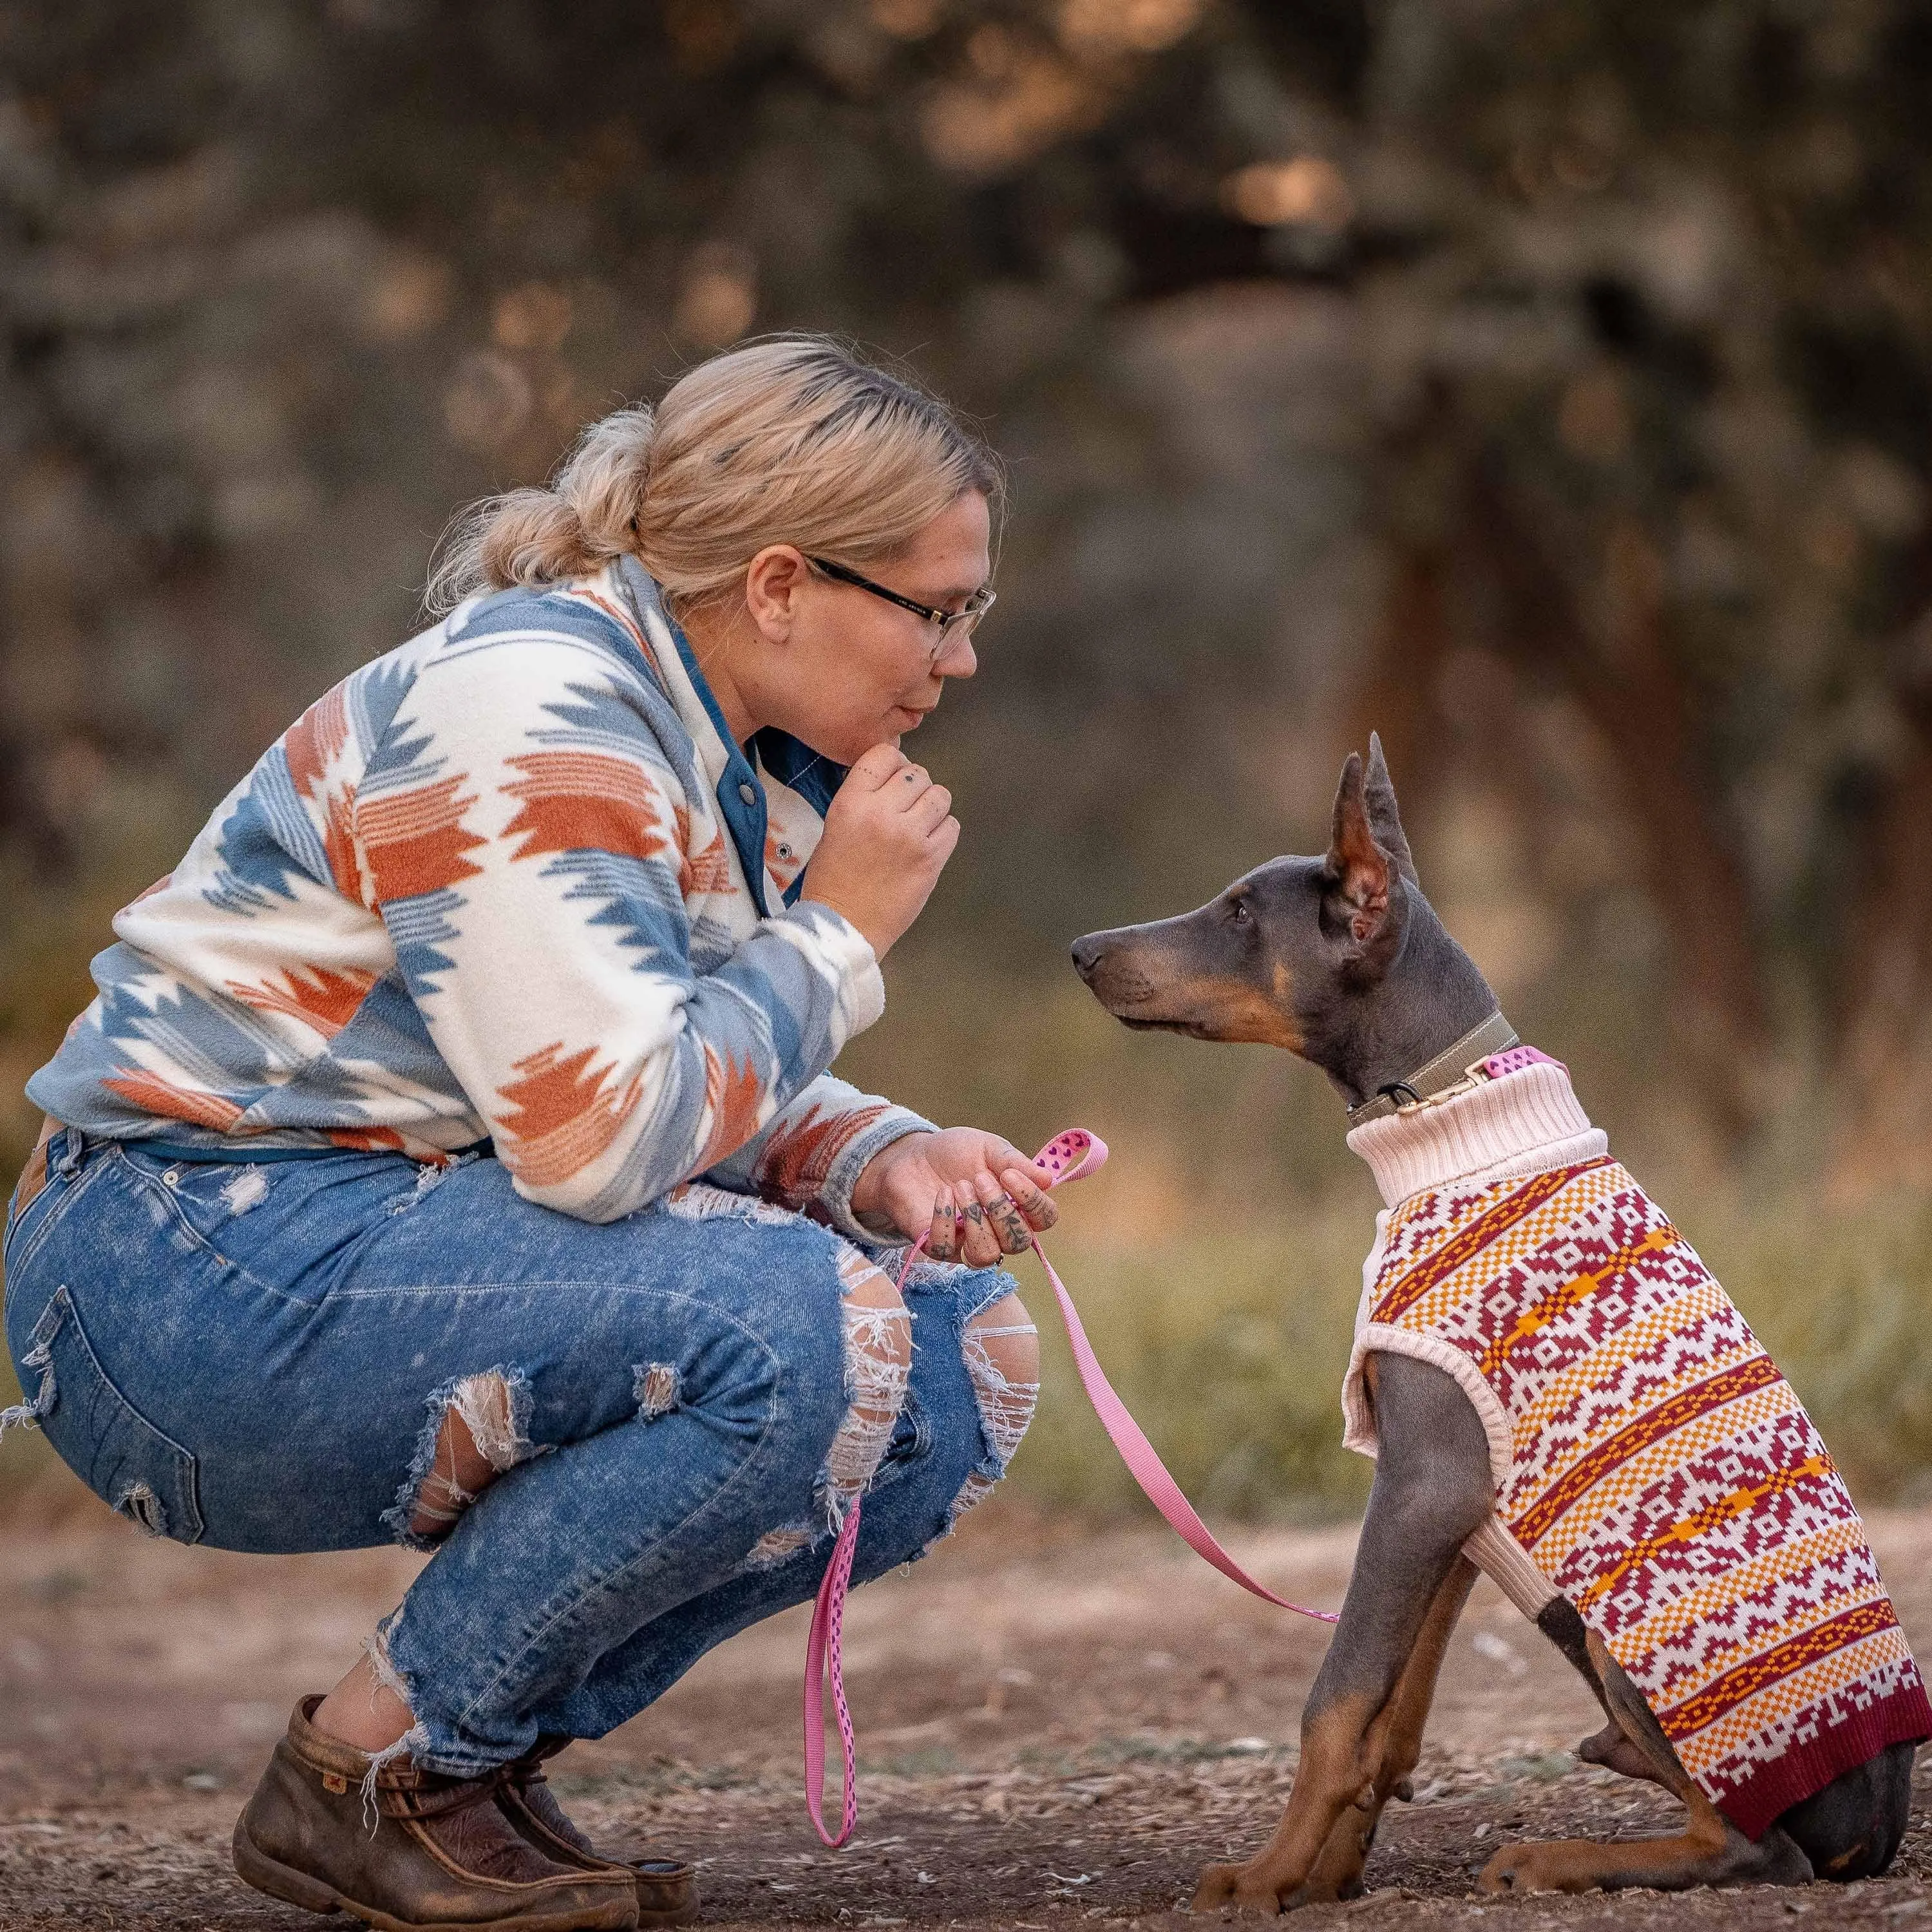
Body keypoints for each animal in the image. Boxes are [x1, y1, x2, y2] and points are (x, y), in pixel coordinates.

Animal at [1066, 734, 1924, 1901]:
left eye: (1241, 913)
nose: (1081, 948)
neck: (1447, 1112)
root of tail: (1880, 1826)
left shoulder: (1423, 1479)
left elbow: (1336, 1698)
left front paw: (1264, 1878)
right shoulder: (1457, 1511)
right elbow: (1393, 1713)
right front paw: (1326, 1873)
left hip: (1638, 1636)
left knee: (1753, 1845)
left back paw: (1560, 1856)